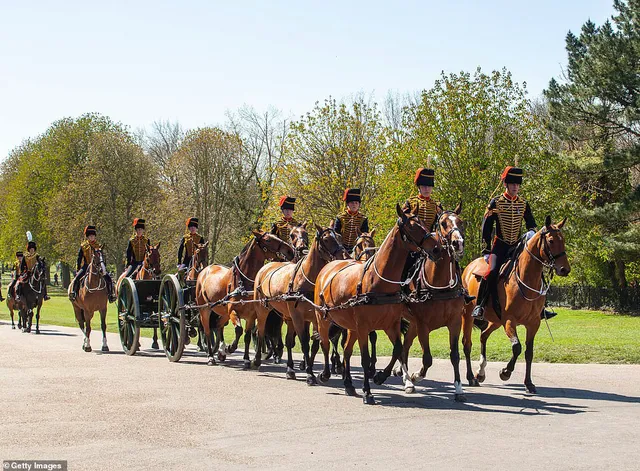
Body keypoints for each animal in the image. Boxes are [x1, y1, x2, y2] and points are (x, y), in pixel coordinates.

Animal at [195, 230, 296, 366]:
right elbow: (239, 329)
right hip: (205, 309)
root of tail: (205, 270)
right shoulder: (233, 311)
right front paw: (231, 347)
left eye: (276, 236)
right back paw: (211, 356)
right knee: (206, 330)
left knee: (218, 324)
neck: (242, 281)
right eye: (268, 240)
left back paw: (220, 351)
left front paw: (246, 358)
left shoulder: (251, 315)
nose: (290, 251)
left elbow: (247, 335)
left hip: (223, 312)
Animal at [252, 224, 348, 384]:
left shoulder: (314, 318)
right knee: (260, 331)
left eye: (339, 237)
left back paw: (290, 369)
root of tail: (266, 266)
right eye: (326, 239)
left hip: (288, 317)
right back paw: (257, 359)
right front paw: (309, 374)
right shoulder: (298, 317)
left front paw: (311, 370)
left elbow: (315, 344)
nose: (344, 256)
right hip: (263, 309)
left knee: (288, 340)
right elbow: (304, 343)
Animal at [314, 206, 442, 406]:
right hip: (323, 318)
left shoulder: (391, 324)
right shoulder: (363, 327)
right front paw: (367, 391)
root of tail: (328, 267)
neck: (379, 281)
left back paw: (349, 384)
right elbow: (365, 359)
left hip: (351, 327)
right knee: (325, 343)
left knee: (347, 350)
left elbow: (397, 349)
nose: (437, 249)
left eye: (423, 223)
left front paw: (381, 376)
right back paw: (325, 374)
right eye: (413, 227)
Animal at [388, 206, 468, 402]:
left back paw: (404, 375)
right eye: (443, 223)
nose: (458, 243)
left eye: (461, 222)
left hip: (412, 323)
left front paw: (458, 388)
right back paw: (408, 380)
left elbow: (455, 356)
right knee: (400, 348)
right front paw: (416, 376)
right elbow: (427, 359)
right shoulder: (423, 324)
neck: (440, 284)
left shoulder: (455, 322)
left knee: (404, 347)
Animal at [460, 216, 568, 392]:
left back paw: (480, 372)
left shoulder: (533, 323)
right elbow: (517, 347)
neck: (525, 279)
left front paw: (529, 383)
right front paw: (505, 372)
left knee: (484, 335)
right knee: (467, 343)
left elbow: (529, 352)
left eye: (563, 240)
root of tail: (469, 267)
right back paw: (471, 377)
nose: (565, 269)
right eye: (551, 241)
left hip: (496, 320)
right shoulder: (510, 320)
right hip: (468, 315)